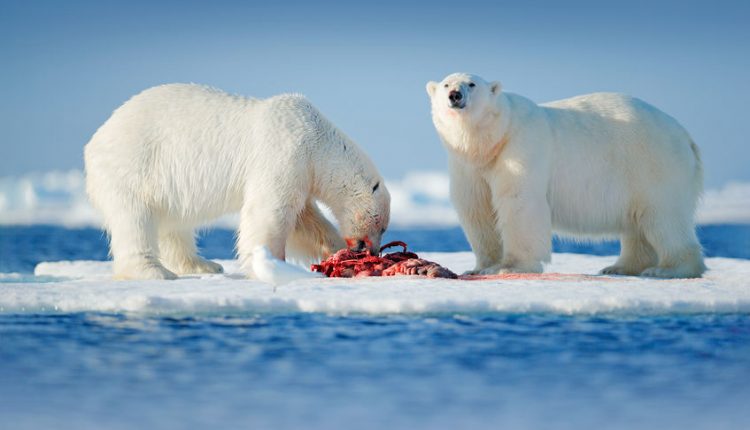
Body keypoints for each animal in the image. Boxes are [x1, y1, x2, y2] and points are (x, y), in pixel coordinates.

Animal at [84, 84, 390, 281]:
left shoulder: (301, 171)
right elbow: (270, 211)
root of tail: (95, 140)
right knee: (134, 219)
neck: (318, 139)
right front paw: (268, 265)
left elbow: (305, 219)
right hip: (133, 166)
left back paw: (203, 265)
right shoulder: (285, 151)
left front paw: (336, 249)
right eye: (382, 226)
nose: (372, 250)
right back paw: (154, 271)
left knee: (174, 225)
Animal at [426, 73, 706, 278]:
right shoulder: (468, 166)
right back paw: (619, 267)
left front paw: (512, 266)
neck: (491, 141)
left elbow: (518, 202)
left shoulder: (520, 147)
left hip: (653, 164)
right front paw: (481, 267)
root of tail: (686, 137)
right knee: (638, 223)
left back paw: (668, 269)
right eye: (446, 84)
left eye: (472, 84)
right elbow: (478, 208)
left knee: (663, 217)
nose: (455, 95)